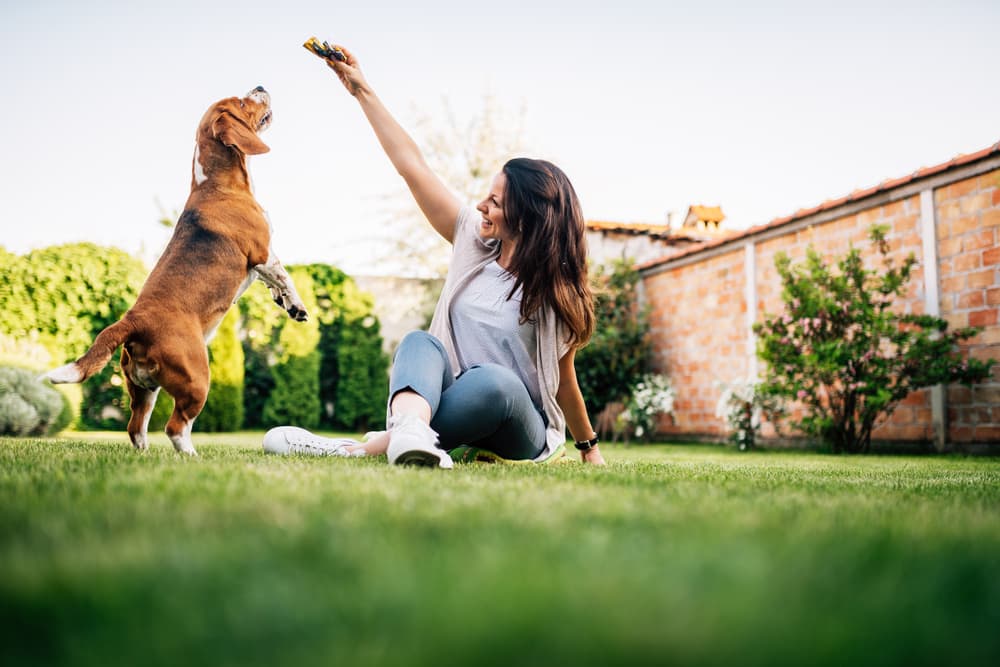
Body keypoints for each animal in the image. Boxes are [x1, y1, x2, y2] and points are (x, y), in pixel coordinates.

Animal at [44, 86, 308, 456]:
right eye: (243, 103)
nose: (259, 86)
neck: (215, 182)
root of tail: (132, 321)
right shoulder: (263, 254)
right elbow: (285, 277)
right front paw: (297, 305)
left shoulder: (261, 265)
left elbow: (276, 285)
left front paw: (286, 304)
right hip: (197, 380)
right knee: (175, 427)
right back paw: (192, 457)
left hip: (143, 389)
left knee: (135, 428)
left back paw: (145, 453)